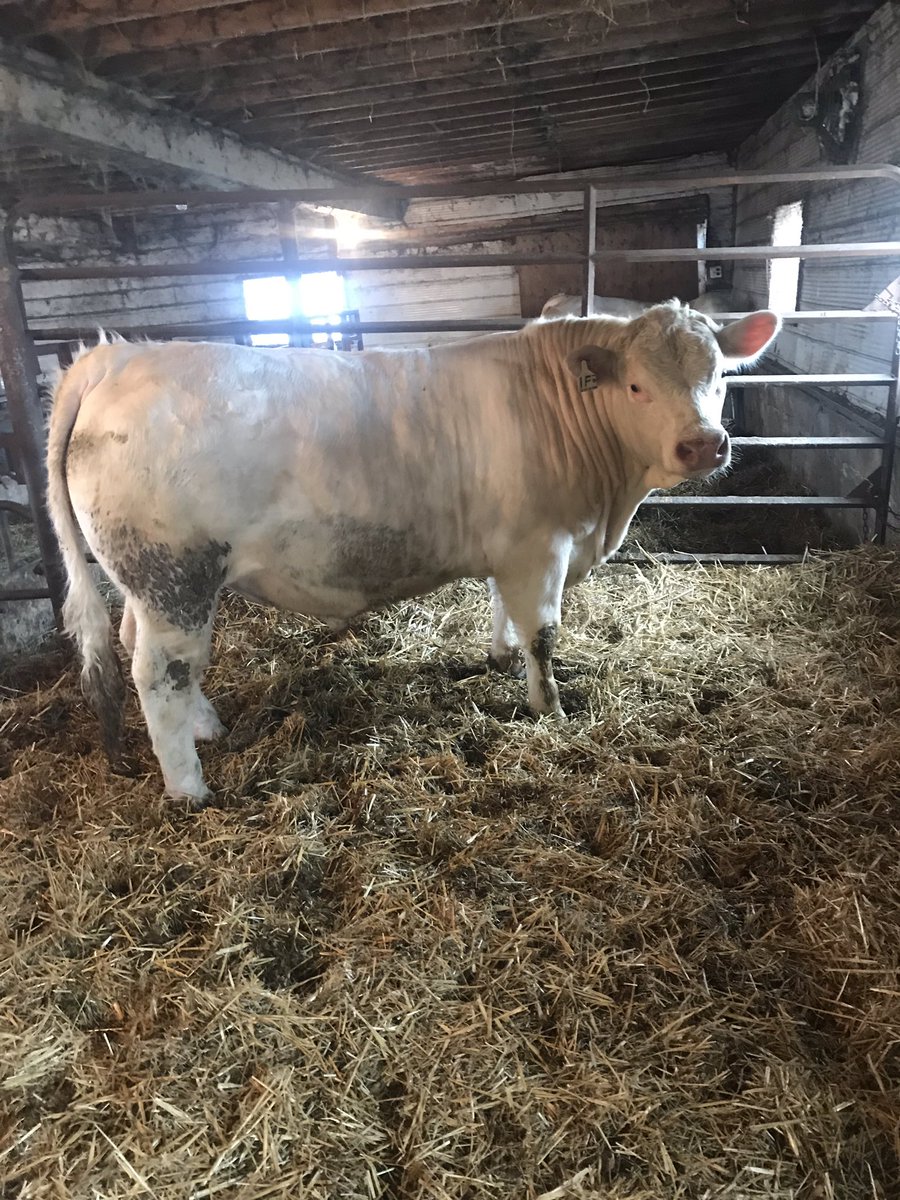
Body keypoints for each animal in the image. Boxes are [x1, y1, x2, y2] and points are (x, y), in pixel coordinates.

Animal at [46, 302, 779, 804]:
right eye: (636, 386)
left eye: (718, 375)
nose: (703, 445)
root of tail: (116, 358)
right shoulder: (542, 545)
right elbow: (543, 634)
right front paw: (551, 709)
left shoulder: (513, 546)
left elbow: (503, 610)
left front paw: (499, 657)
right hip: (175, 574)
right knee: (159, 672)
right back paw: (189, 787)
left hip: (154, 583)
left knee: (146, 647)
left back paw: (208, 729)